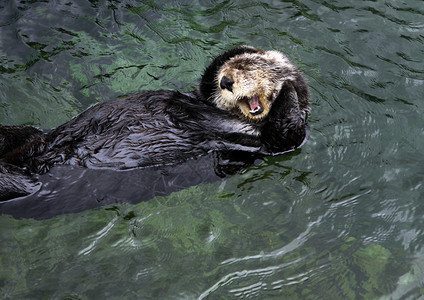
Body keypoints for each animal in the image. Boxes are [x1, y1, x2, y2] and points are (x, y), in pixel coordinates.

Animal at [0, 45, 312, 203]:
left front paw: (287, 88)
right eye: (229, 72)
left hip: (26, 185)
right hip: (26, 136)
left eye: (248, 70)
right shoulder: (201, 96)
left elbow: (286, 132)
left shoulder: (266, 145)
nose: (226, 81)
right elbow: (204, 83)